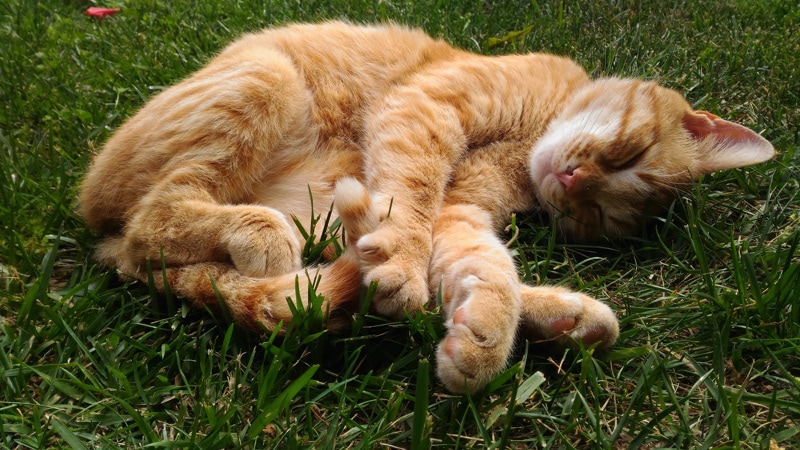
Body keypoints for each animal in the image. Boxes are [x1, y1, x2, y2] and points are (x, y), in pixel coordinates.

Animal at [79, 21, 776, 394]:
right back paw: (257, 232)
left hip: (316, 211)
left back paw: (567, 318)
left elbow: (484, 266)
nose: (570, 181)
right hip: (263, 82)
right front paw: (406, 267)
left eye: (596, 217)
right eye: (632, 155)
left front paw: (482, 336)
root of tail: (99, 237)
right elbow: (411, 201)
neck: (532, 138)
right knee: (151, 224)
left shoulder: (462, 208)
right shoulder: (428, 108)